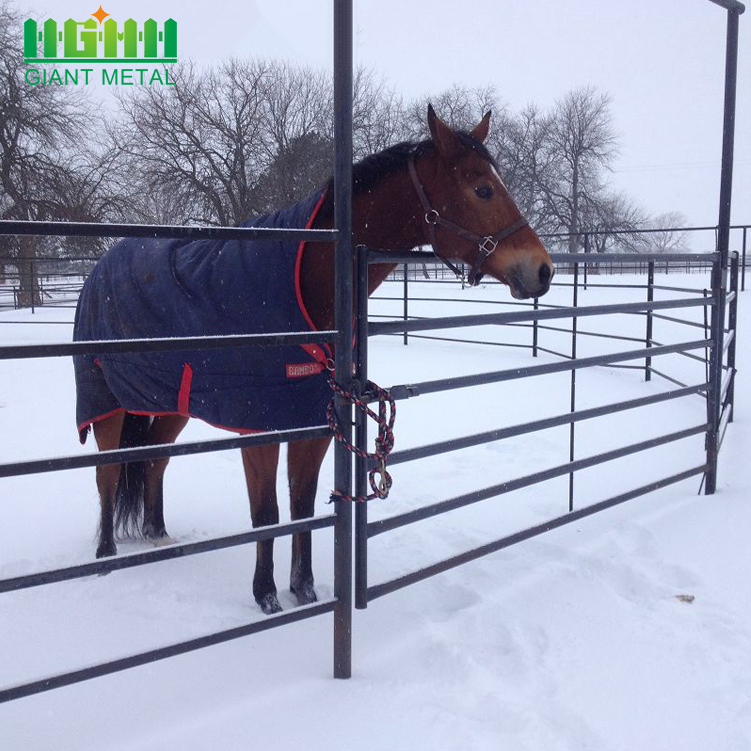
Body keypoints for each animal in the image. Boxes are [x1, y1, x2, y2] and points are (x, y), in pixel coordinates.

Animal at [75, 106, 560, 612]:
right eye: (482, 188)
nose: (543, 269)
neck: (307, 286)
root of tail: (99, 268)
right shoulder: (260, 428)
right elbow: (268, 513)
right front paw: (267, 595)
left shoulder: (312, 422)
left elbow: (303, 506)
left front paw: (304, 589)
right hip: (105, 403)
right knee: (107, 472)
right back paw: (105, 554)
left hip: (172, 402)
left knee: (155, 460)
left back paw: (157, 534)